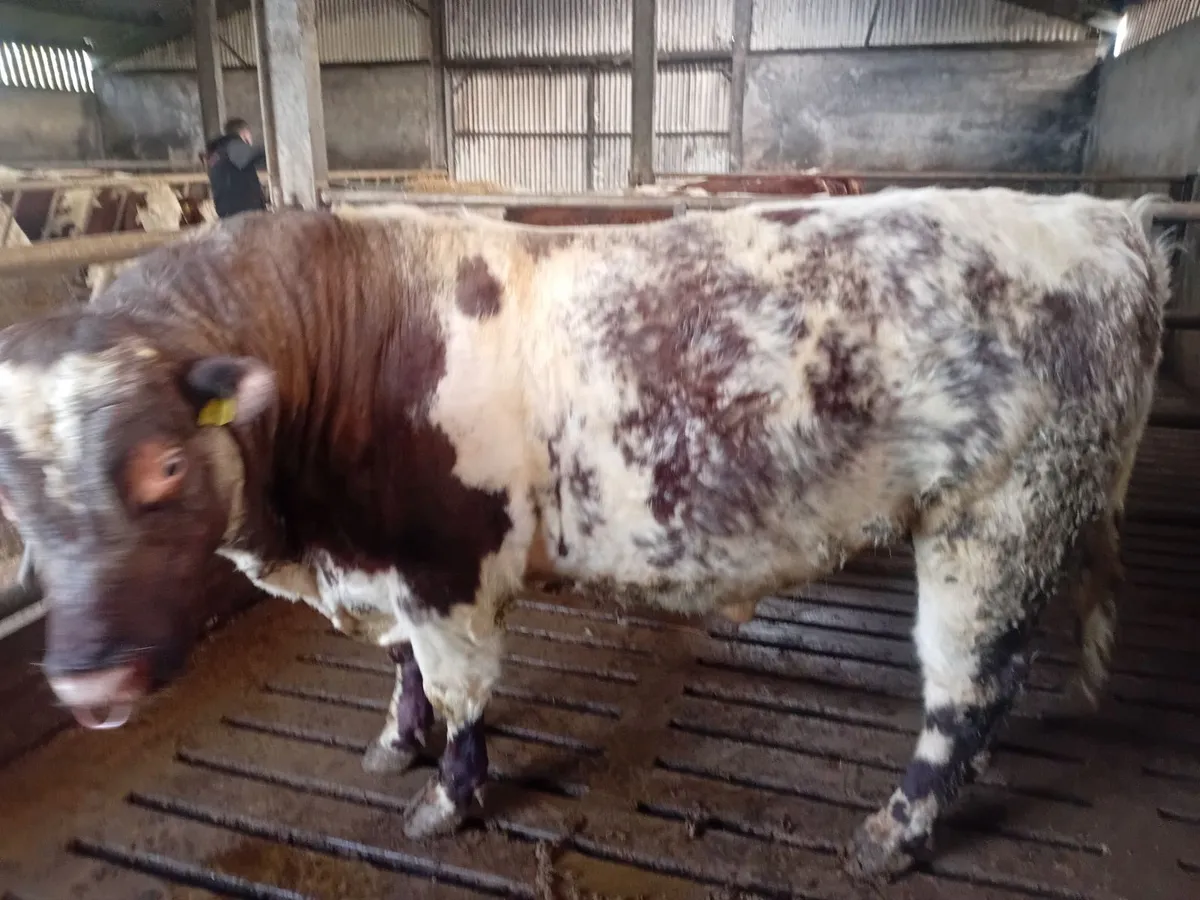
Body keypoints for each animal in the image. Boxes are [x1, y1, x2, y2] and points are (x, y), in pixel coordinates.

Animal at [0, 186, 1169, 879]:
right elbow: (404, 673)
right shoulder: (387, 568)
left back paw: (893, 832)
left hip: (997, 519)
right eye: (13, 500)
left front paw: (446, 798)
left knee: (969, 688)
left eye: (163, 465)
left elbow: (462, 694)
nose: (90, 684)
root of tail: (1101, 218)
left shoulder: (449, 569)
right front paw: (393, 744)